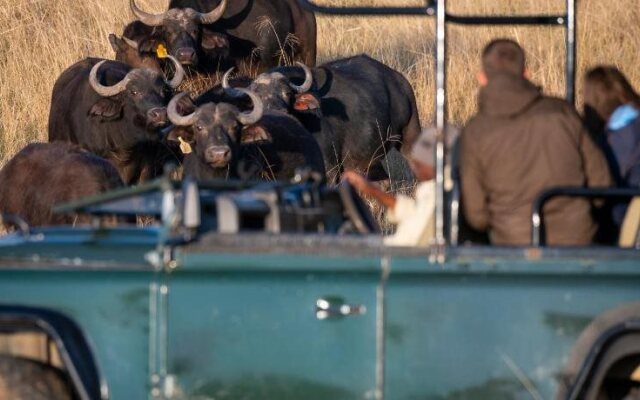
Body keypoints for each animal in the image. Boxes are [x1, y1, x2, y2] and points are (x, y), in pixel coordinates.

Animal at [222, 55, 422, 183]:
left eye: (287, 93)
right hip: (366, 160)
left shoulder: (330, 169)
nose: (279, 111)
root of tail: (400, 82)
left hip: (410, 137)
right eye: (256, 97)